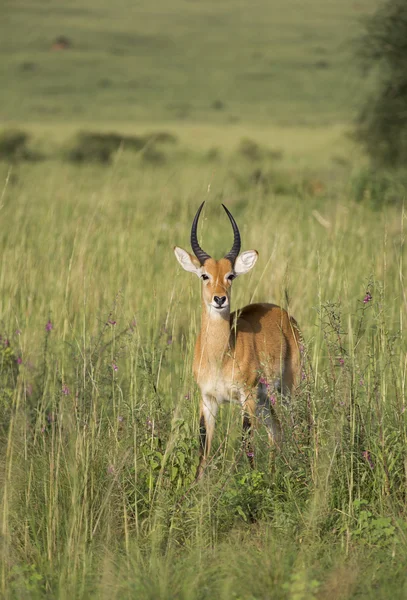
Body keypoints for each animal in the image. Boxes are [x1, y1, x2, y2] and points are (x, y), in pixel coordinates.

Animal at [174, 202, 302, 478]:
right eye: (204, 275)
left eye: (231, 275)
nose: (219, 299)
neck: (219, 355)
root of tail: (285, 315)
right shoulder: (208, 399)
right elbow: (203, 447)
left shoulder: (246, 396)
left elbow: (247, 442)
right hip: (266, 399)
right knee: (277, 430)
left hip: (289, 389)